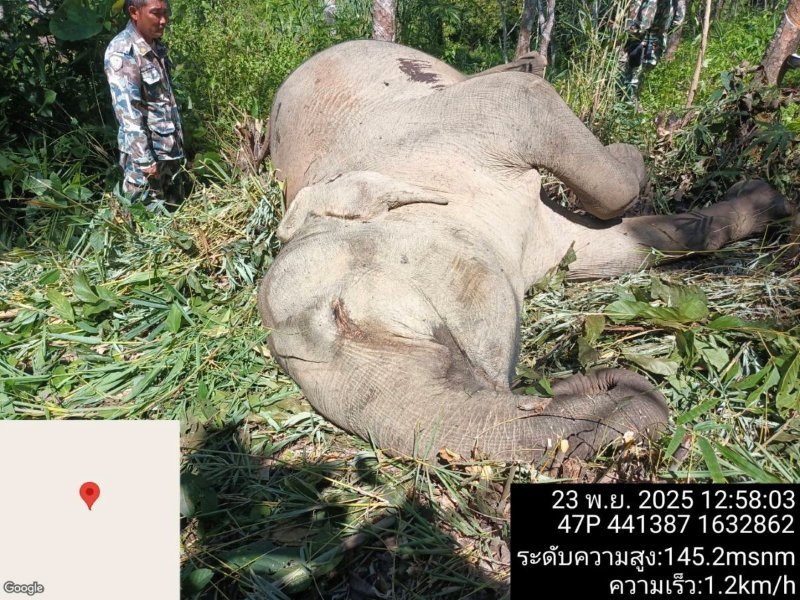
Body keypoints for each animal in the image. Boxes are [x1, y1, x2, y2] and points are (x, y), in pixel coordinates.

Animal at [257, 41, 792, 462]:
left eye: (342, 315)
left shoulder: (462, 126)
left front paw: (638, 159)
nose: (617, 386)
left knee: (517, 81)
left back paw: (528, 65)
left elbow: (553, 126)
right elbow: (620, 249)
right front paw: (768, 201)